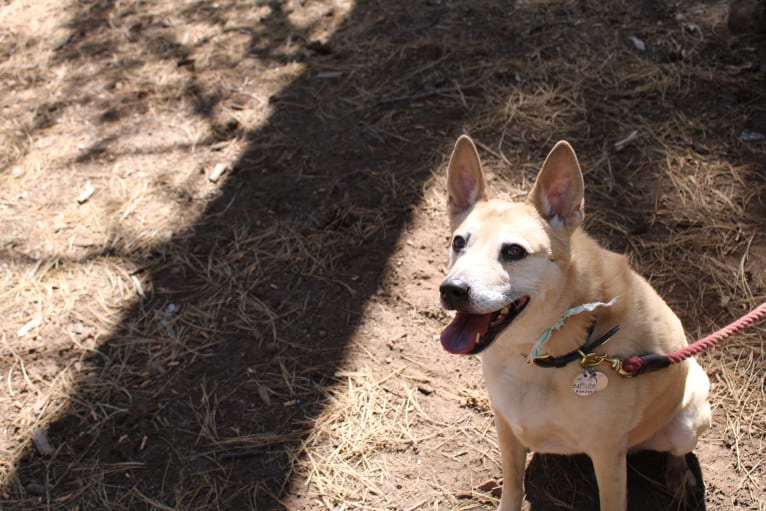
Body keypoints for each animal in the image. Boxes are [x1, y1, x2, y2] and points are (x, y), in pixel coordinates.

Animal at [440, 137, 716, 511]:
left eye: (513, 251)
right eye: (459, 242)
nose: (452, 290)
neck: (536, 357)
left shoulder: (608, 454)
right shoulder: (506, 425)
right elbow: (512, 486)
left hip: (687, 421)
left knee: (679, 452)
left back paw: (678, 477)